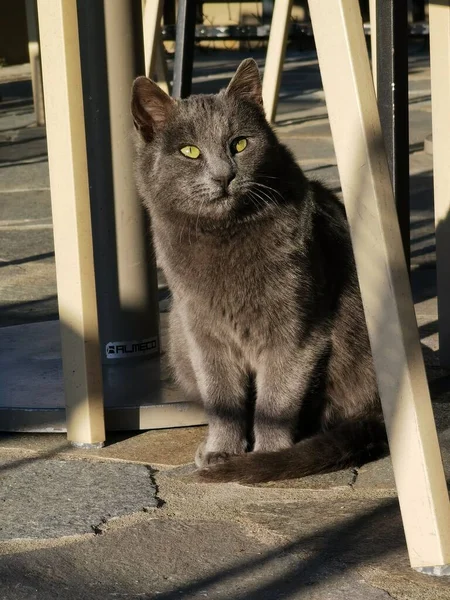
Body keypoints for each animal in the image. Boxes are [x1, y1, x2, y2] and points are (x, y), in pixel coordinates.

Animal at [131, 58, 386, 486]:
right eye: (189, 151)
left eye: (239, 144)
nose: (224, 175)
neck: (225, 237)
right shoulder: (203, 334)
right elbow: (222, 397)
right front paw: (221, 451)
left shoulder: (295, 333)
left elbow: (276, 401)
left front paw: (266, 455)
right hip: (177, 330)